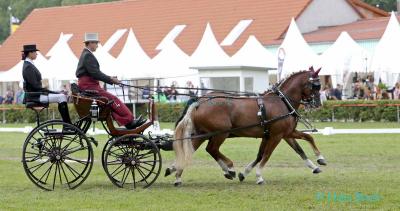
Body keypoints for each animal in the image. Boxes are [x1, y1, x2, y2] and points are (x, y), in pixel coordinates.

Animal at [169, 67, 322, 185]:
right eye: (315, 86)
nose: (318, 104)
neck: (281, 102)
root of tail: (200, 102)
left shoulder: (283, 133)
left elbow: (302, 144)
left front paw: (317, 163)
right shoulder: (276, 136)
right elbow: (267, 155)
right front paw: (258, 176)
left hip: (202, 134)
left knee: (190, 150)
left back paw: (177, 174)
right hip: (220, 133)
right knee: (211, 149)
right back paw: (229, 169)